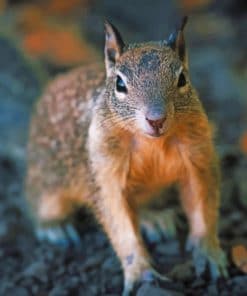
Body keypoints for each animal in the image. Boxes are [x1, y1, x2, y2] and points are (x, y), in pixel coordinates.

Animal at [25, 17, 228, 294]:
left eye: (182, 78)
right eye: (120, 84)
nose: (156, 119)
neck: (153, 143)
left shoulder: (198, 157)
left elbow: (201, 204)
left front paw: (208, 254)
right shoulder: (104, 171)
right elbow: (120, 223)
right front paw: (141, 273)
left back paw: (154, 218)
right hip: (47, 183)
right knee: (37, 203)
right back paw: (56, 227)